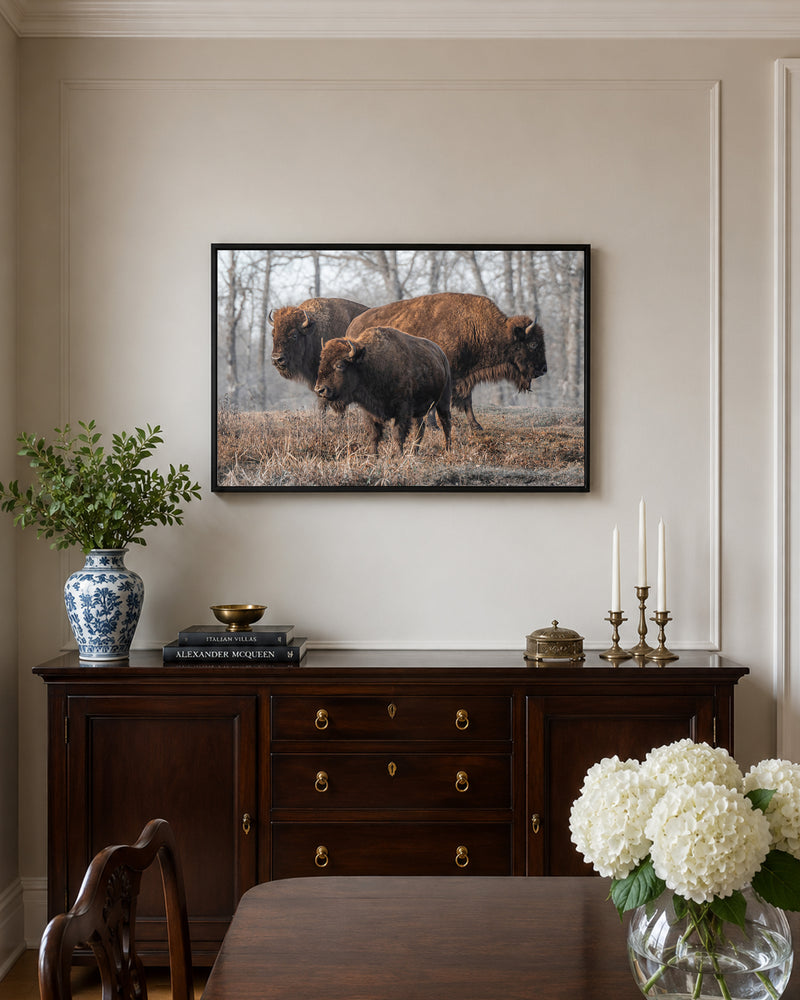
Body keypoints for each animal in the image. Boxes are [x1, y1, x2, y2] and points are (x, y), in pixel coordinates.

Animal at [314, 326, 452, 456]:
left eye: (339, 365)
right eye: (321, 362)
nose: (319, 390)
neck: (370, 365)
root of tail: (442, 355)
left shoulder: (403, 409)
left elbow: (398, 435)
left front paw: (399, 456)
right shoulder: (370, 411)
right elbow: (374, 435)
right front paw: (374, 457)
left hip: (444, 401)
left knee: (446, 424)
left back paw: (448, 449)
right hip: (418, 412)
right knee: (420, 428)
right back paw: (414, 453)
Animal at [345, 292, 546, 430]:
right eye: (533, 344)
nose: (543, 369)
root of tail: (353, 325)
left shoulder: (465, 376)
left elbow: (467, 401)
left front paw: (476, 425)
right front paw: (433, 426)